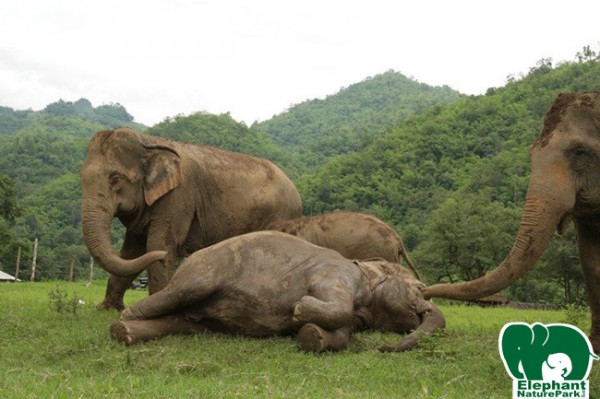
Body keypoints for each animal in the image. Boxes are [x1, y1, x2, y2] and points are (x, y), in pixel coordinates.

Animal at [81, 128, 302, 310]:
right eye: (82, 177)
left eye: (115, 178)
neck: (149, 141)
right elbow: (132, 251)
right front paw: (107, 308)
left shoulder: (178, 197)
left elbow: (158, 244)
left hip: (282, 216)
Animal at [109, 231, 446, 354]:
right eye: (421, 289)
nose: (384, 348)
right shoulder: (336, 272)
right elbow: (334, 303)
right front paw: (299, 309)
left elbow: (342, 332)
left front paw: (310, 334)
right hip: (205, 269)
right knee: (185, 290)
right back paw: (125, 319)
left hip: (198, 315)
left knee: (181, 324)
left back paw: (124, 332)